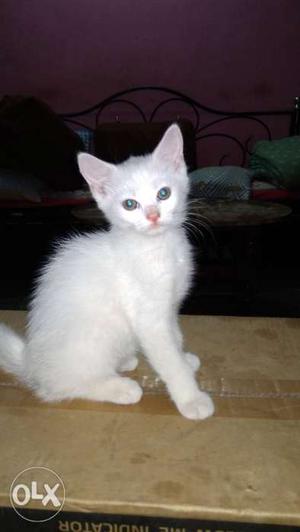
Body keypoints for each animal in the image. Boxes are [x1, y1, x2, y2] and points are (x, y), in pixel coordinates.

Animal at [0, 124, 213, 420]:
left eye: (163, 194)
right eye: (130, 204)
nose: (153, 215)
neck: (159, 249)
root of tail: (30, 362)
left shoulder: (169, 307)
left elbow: (175, 337)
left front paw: (183, 357)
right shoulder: (149, 316)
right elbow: (168, 359)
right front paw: (191, 398)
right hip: (90, 342)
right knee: (62, 386)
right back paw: (119, 388)